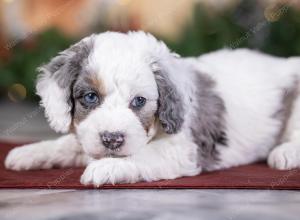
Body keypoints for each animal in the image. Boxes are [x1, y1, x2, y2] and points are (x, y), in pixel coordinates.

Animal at [4, 30, 300, 186]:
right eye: (90, 97)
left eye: (139, 101)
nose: (112, 139)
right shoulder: (88, 137)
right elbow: (68, 144)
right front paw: (27, 153)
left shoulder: (182, 149)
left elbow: (141, 155)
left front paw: (106, 167)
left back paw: (284, 153)